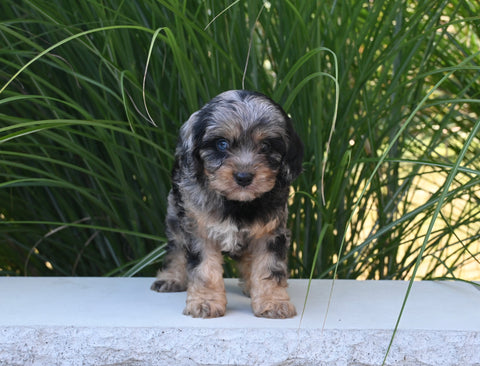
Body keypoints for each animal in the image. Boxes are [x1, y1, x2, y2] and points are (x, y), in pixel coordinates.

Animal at [152, 89, 302, 318]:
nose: (244, 177)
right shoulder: (198, 229)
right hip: (175, 214)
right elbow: (204, 270)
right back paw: (171, 277)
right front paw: (205, 302)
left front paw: (272, 302)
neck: (236, 203)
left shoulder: (271, 232)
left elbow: (269, 267)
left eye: (266, 146)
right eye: (222, 143)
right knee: (175, 247)